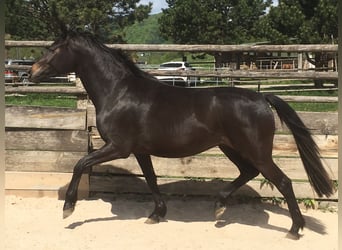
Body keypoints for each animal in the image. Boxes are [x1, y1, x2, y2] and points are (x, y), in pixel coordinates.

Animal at [28, 30, 332, 239]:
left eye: (53, 49)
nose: (32, 72)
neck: (119, 92)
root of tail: (262, 98)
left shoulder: (118, 147)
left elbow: (80, 164)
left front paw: (68, 207)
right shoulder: (140, 150)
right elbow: (151, 180)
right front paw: (156, 214)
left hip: (255, 151)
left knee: (283, 181)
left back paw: (294, 229)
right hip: (231, 148)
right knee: (248, 172)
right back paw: (219, 206)